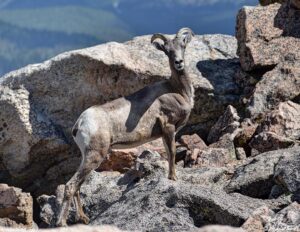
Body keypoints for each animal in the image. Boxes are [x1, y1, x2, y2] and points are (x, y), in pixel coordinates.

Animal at [56, 27, 195, 227]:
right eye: (167, 50)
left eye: (182, 46)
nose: (179, 63)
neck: (177, 90)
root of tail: (80, 124)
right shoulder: (169, 128)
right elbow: (172, 153)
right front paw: (173, 179)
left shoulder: (164, 133)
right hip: (95, 155)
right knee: (71, 185)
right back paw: (62, 223)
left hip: (87, 156)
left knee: (77, 186)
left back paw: (83, 218)